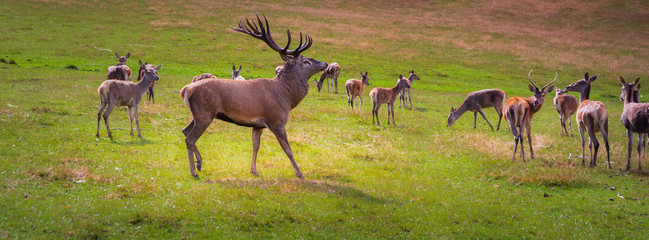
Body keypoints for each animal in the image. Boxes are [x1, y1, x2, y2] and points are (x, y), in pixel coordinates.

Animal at [178, 13, 326, 178]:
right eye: (306, 61)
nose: (325, 64)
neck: (286, 97)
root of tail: (185, 89)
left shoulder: (258, 124)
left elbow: (256, 145)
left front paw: (254, 170)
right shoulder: (276, 121)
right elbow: (288, 149)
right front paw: (300, 173)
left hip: (199, 115)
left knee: (185, 130)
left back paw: (199, 163)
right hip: (204, 113)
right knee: (189, 138)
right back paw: (194, 171)